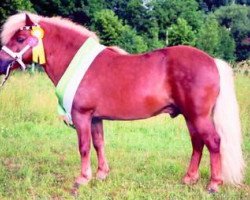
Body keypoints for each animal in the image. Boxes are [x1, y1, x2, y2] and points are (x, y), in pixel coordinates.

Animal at [0, 12, 244, 192]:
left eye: (20, 39)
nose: (1, 65)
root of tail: (211, 61)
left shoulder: (81, 115)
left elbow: (84, 146)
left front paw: (82, 179)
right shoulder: (95, 118)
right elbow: (98, 143)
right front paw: (101, 174)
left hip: (198, 116)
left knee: (213, 142)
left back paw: (213, 184)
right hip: (190, 116)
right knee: (197, 143)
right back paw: (189, 179)